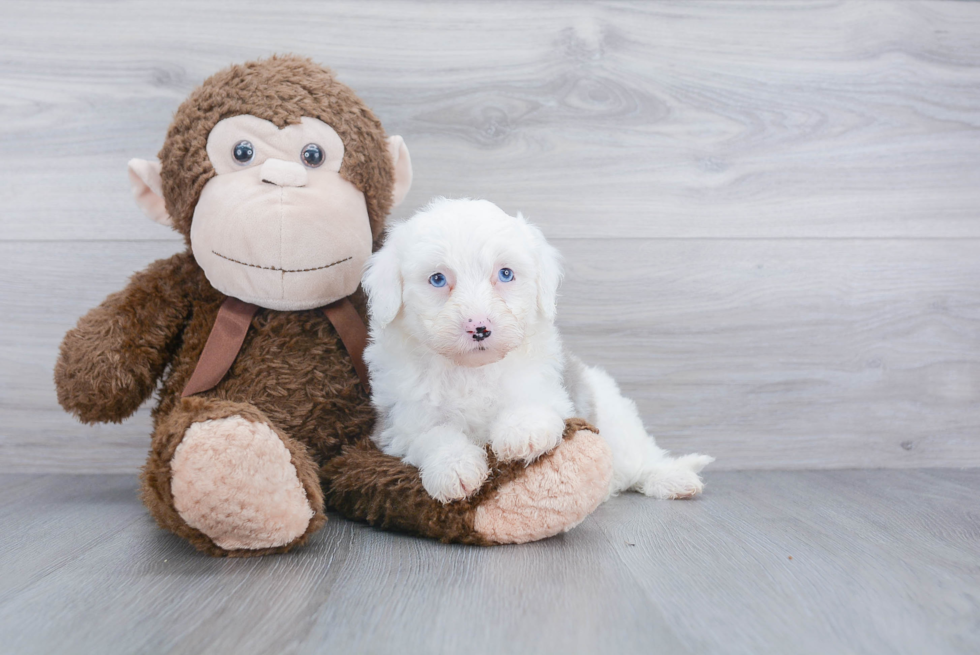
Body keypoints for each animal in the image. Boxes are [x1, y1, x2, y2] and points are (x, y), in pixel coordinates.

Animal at [360, 199, 712, 502]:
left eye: (505, 274)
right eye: (437, 279)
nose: (480, 327)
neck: (471, 370)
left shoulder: (548, 387)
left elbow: (532, 403)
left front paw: (521, 433)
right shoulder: (402, 420)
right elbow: (433, 436)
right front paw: (454, 468)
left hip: (615, 422)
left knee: (640, 459)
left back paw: (671, 479)